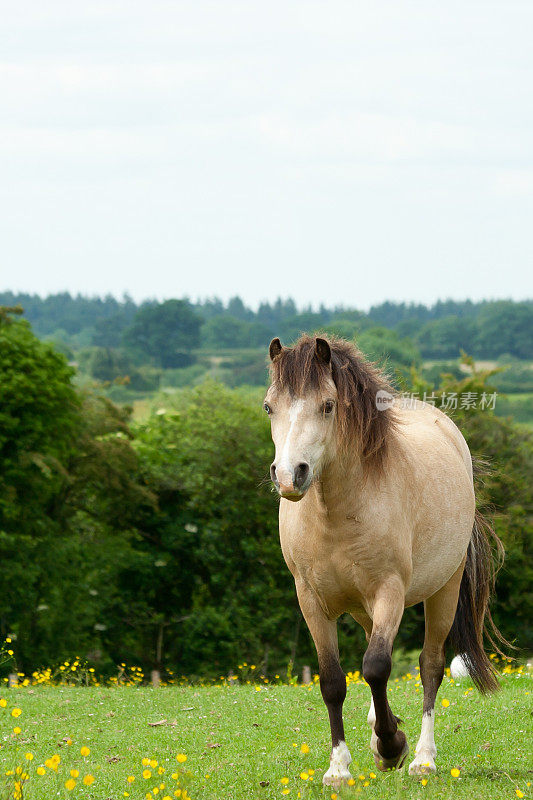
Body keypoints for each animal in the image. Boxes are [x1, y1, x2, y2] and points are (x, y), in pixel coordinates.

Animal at [264, 334, 504, 784]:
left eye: (327, 405)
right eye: (270, 406)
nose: (290, 476)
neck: (337, 512)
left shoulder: (389, 591)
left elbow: (377, 666)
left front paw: (393, 746)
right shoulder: (311, 600)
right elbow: (333, 681)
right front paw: (339, 767)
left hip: (443, 590)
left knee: (430, 666)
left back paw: (422, 757)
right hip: (362, 608)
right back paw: (378, 727)